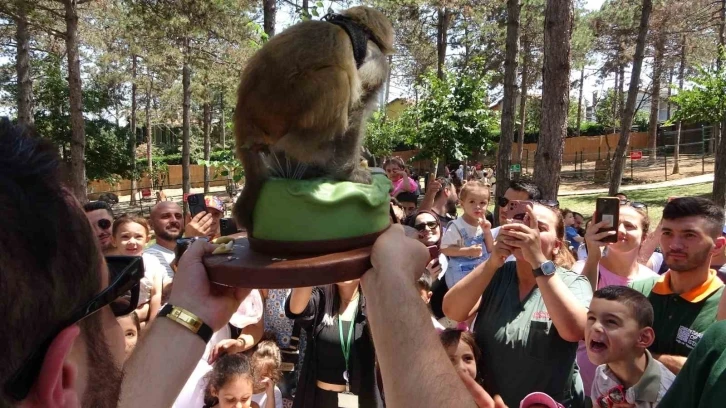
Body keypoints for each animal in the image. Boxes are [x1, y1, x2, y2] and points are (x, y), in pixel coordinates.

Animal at [235, 6, 396, 234]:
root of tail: (242, 116)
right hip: (286, 104)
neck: (357, 25)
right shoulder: (377, 61)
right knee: (340, 78)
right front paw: (349, 173)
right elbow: (357, 108)